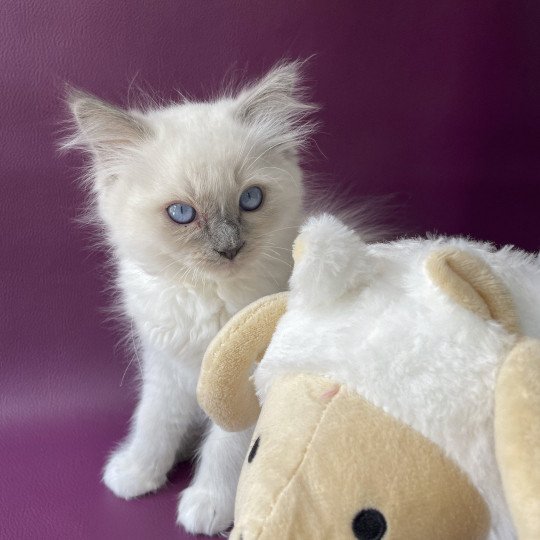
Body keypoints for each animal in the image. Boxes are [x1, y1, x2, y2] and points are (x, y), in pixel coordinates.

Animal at [64, 61, 316, 532]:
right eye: (182, 214)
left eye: (250, 199)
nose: (229, 249)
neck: (204, 297)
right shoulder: (164, 366)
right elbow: (154, 422)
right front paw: (137, 472)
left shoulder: (243, 381)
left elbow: (226, 449)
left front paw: (208, 505)